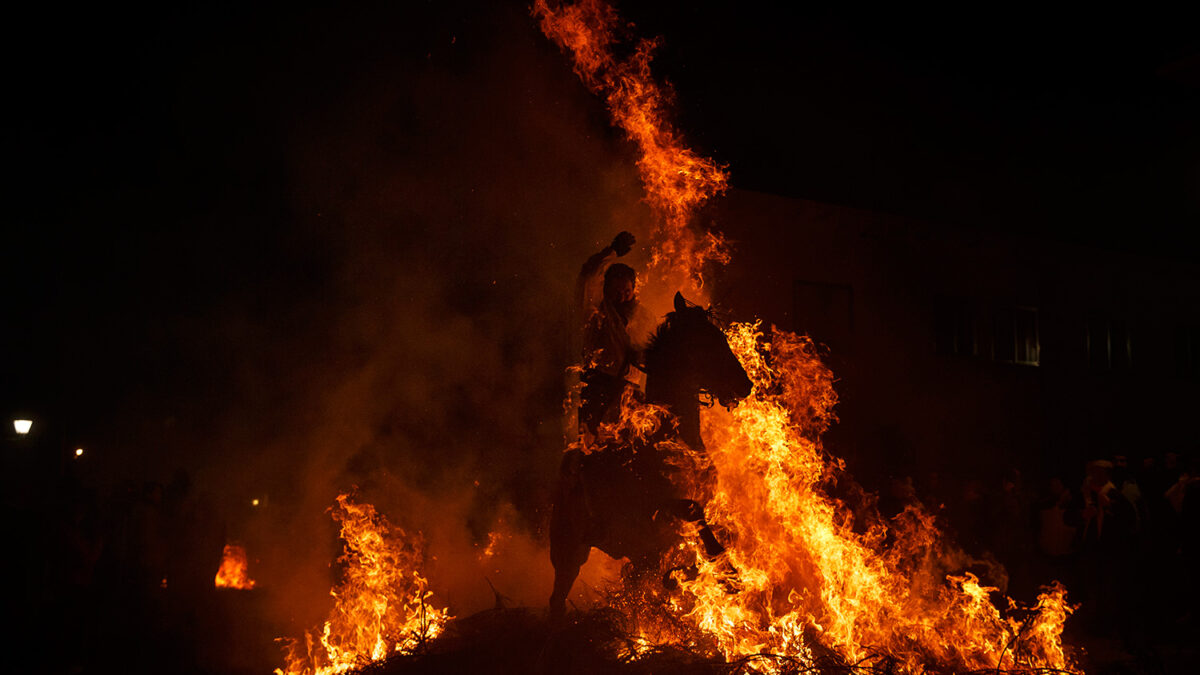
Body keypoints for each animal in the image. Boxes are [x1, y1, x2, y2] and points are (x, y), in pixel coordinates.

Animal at [549, 289, 748, 614]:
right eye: (708, 340)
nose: (745, 384)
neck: (671, 434)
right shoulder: (655, 506)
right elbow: (692, 509)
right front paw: (727, 571)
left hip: (637, 552)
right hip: (569, 552)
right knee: (557, 600)